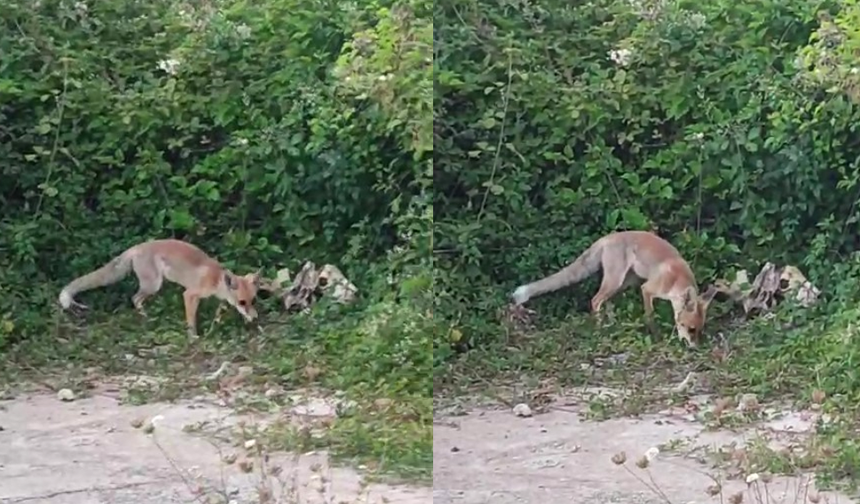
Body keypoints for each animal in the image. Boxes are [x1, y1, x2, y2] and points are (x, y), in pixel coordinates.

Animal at [58, 238, 262, 336]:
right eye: (242, 302)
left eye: (252, 301)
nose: (255, 318)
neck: (215, 280)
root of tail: (136, 247)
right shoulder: (190, 294)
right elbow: (191, 320)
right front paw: (193, 337)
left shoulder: (221, 300)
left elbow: (219, 314)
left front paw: (214, 328)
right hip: (153, 285)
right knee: (134, 298)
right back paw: (145, 318)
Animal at [510, 231, 720, 346]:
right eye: (691, 329)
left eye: (699, 331)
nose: (695, 348)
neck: (676, 280)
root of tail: (606, 238)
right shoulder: (647, 289)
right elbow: (650, 316)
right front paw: (656, 336)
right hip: (616, 281)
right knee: (595, 300)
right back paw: (599, 329)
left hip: (623, 283)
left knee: (606, 301)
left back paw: (612, 325)